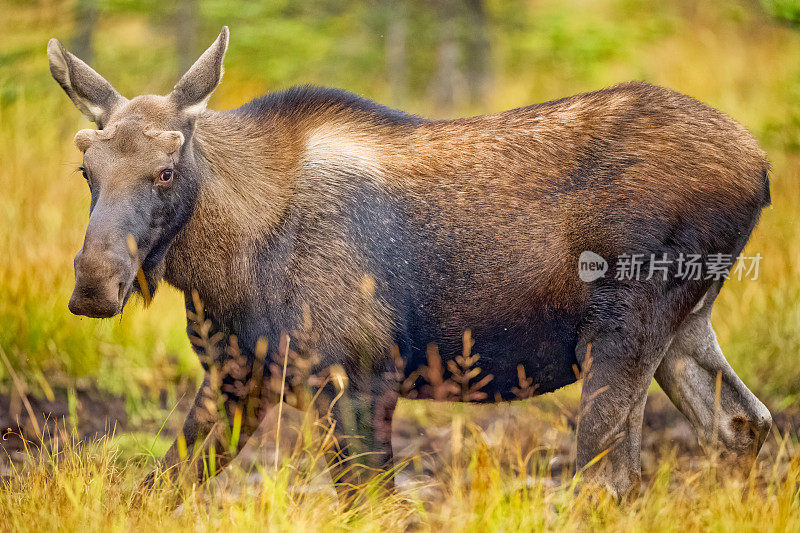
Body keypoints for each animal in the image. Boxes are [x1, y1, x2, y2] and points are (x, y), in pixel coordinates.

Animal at [47, 27, 772, 496]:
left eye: (166, 170)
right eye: (86, 168)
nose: (94, 283)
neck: (224, 269)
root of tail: (761, 167)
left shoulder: (362, 374)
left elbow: (371, 499)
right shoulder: (236, 373)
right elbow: (159, 486)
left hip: (623, 332)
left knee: (613, 476)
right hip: (685, 328)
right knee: (743, 424)